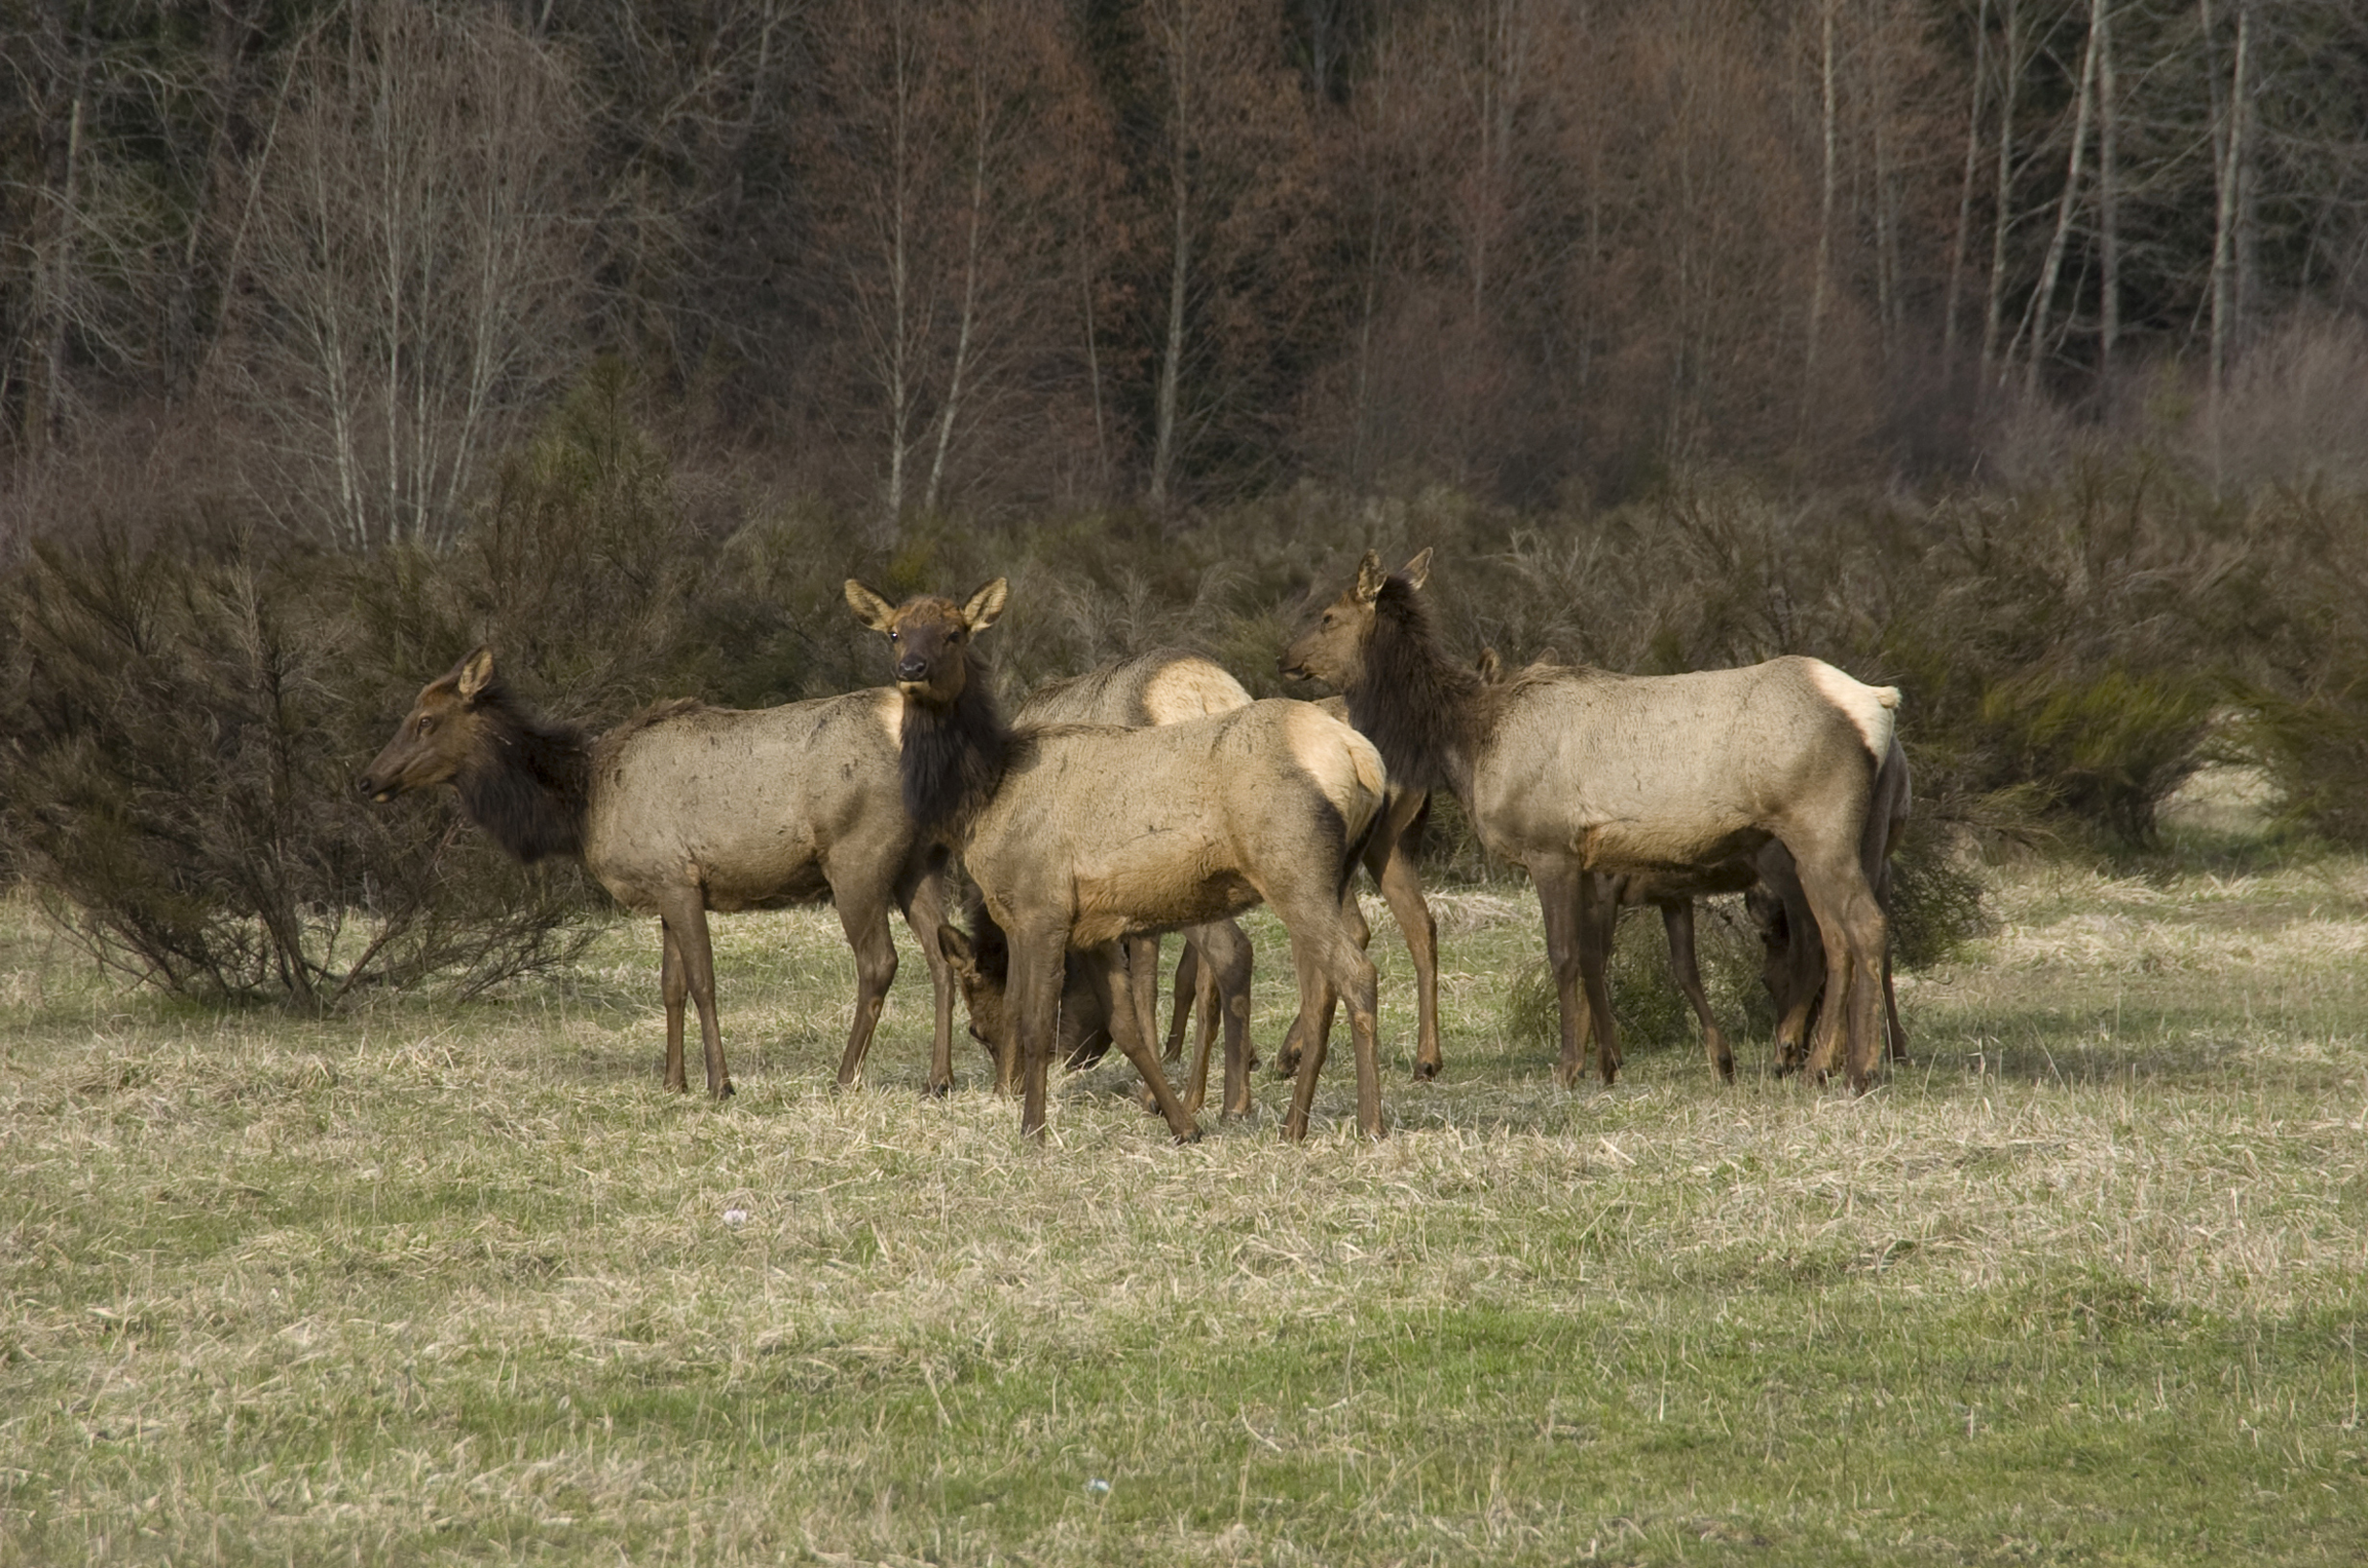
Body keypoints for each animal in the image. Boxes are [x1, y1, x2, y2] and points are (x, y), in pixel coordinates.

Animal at [357, 648, 955, 1099]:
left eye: (426, 720)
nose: (367, 780)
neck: (582, 804)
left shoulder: (677, 878)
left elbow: (704, 982)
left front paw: (720, 1084)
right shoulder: (663, 891)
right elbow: (671, 987)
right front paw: (672, 1082)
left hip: (856, 857)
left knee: (879, 962)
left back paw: (844, 1076)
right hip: (920, 862)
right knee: (943, 954)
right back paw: (938, 1079)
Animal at [844, 578, 1391, 1141]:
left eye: (955, 633)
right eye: (894, 633)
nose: (912, 669)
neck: (984, 798)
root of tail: (1361, 757)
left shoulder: (1039, 908)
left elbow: (1032, 1017)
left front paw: (1031, 1126)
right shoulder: (1095, 926)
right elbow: (1123, 1025)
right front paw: (1182, 1124)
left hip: (1293, 871)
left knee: (1355, 974)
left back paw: (1369, 1122)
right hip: (1324, 876)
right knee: (1316, 986)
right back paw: (1289, 1122)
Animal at [1282, 550, 1902, 1093]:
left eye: (1328, 615)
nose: (1284, 657)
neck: (1468, 742)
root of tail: (1878, 704)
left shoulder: (1549, 846)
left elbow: (1561, 956)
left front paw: (1568, 1068)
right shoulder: (1591, 863)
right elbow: (1589, 957)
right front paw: (1606, 1063)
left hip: (1819, 827)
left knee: (1861, 926)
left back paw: (1854, 1067)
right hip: (1849, 838)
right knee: (1836, 936)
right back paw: (1828, 1062)